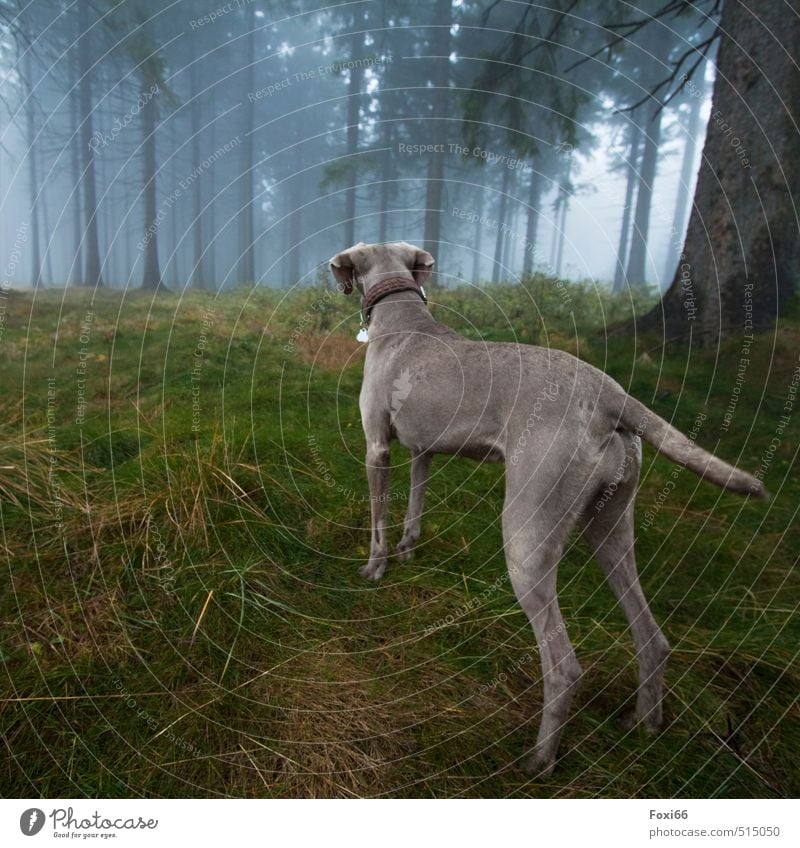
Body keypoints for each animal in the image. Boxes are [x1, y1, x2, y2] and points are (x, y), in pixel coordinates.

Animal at [328, 238, 764, 776]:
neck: (404, 314)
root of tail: (612, 394)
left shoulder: (378, 449)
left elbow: (379, 519)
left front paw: (376, 567)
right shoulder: (422, 450)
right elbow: (415, 503)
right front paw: (409, 550)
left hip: (526, 538)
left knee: (564, 666)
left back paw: (540, 759)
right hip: (610, 526)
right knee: (652, 638)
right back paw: (643, 725)